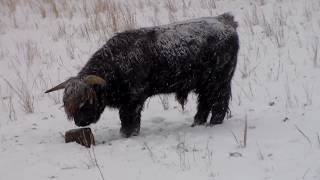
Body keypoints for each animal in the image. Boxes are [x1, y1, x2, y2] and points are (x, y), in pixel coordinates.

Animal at [46, 13, 239, 137]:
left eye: (87, 101)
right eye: (67, 105)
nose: (79, 122)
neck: (116, 65)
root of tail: (225, 21)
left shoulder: (134, 100)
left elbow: (129, 120)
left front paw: (128, 134)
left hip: (219, 82)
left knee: (219, 103)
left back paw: (213, 124)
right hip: (205, 84)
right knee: (204, 104)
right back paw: (197, 123)